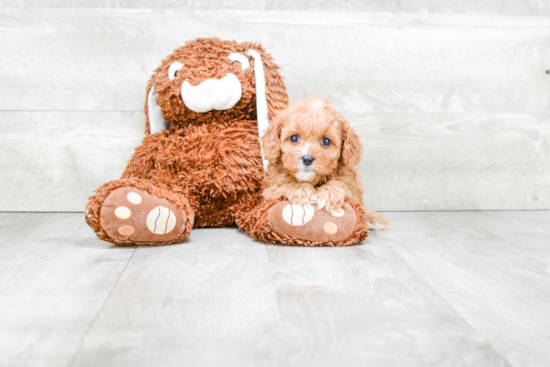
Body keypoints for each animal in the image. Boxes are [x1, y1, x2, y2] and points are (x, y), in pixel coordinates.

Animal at [262, 96, 388, 231]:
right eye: (294, 138)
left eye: (326, 141)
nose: (307, 159)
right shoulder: (269, 191)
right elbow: (282, 186)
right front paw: (301, 190)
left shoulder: (353, 188)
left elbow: (342, 185)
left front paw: (329, 193)